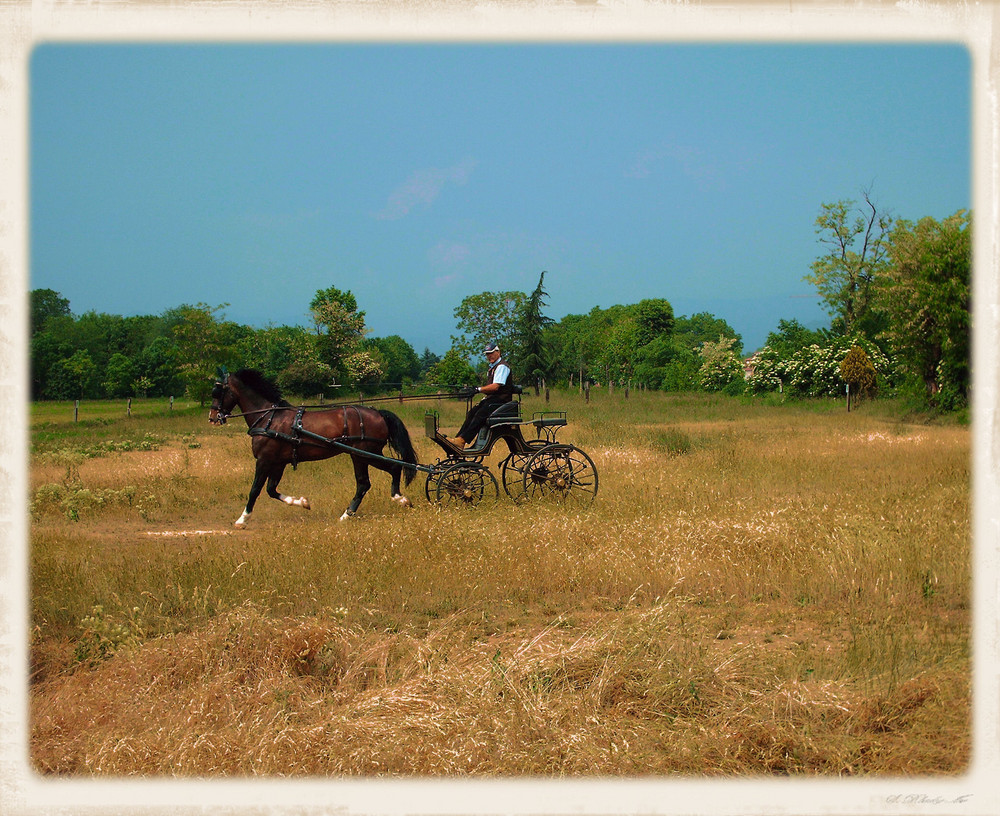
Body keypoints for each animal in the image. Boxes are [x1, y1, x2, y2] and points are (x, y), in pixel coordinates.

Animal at [208, 368, 418, 524]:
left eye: (218, 392)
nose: (212, 418)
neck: (269, 418)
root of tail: (378, 413)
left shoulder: (264, 460)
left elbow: (255, 489)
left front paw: (242, 519)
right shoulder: (278, 462)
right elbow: (271, 490)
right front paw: (302, 502)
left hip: (364, 454)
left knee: (379, 475)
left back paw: (389, 502)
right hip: (363, 454)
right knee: (376, 477)